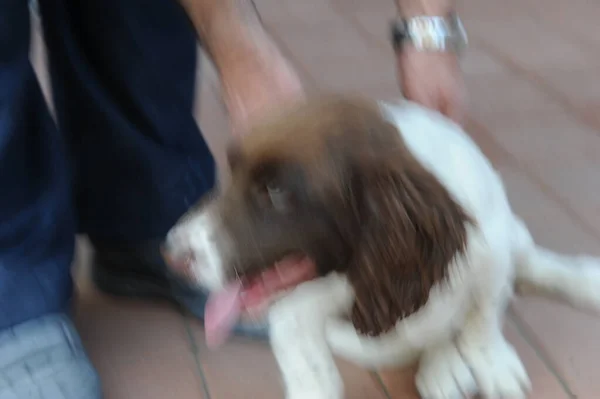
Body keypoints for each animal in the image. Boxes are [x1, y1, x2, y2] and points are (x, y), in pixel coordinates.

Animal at [162, 97, 600, 399]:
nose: (171, 256)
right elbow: (308, 368)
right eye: (231, 172)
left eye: (275, 191)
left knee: (531, 264)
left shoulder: (489, 250)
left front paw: (494, 363)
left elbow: (484, 316)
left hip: (509, 231)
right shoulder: (294, 309)